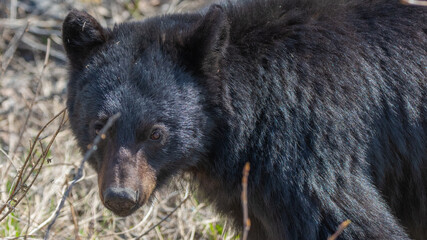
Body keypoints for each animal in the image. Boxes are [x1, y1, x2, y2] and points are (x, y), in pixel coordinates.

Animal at [62, 0, 427, 238]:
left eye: (156, 133)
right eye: (99, 126)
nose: (120, 196)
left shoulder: (306, 144)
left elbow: (351, 219)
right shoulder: (249, 197)